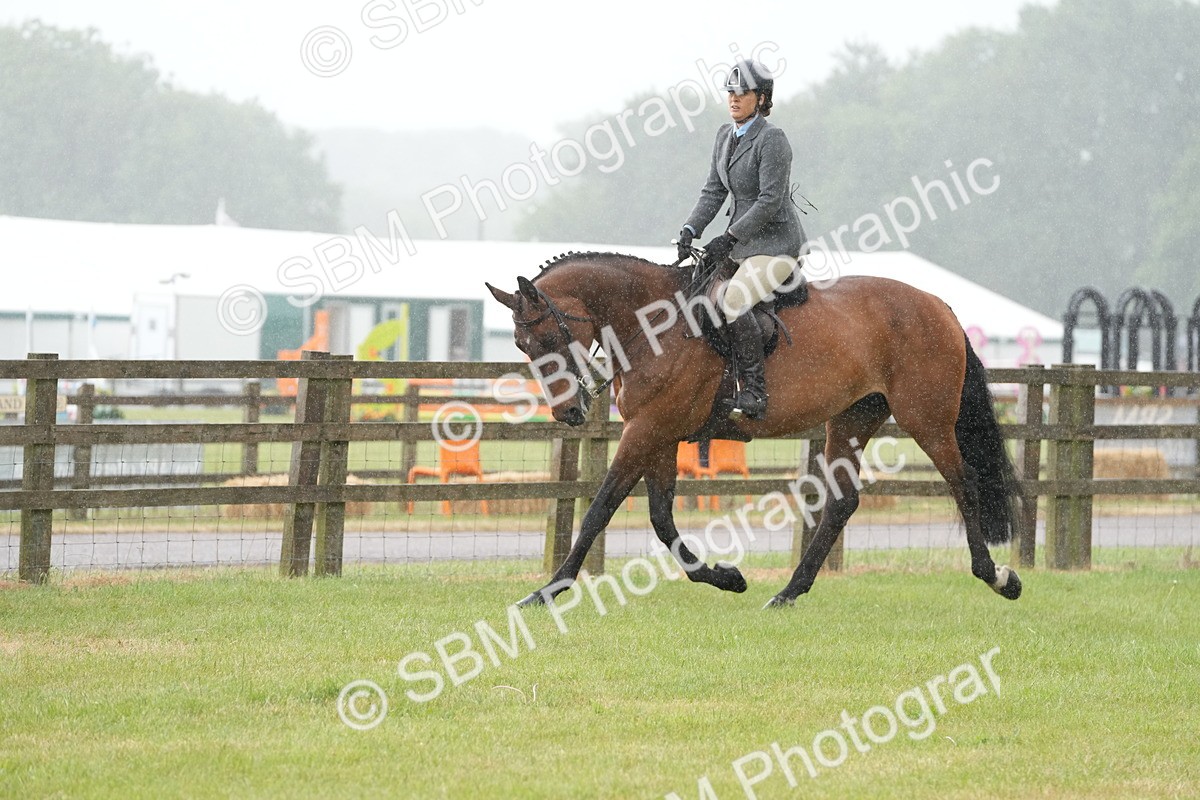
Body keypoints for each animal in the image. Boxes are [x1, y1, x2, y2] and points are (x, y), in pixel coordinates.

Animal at [486, 251, 1025, 609]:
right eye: (522, 345)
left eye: (547, 337)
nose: (567, 414)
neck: (652, 324)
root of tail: (939, 306)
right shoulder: (660, 434)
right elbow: (660, 517)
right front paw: (725, 577)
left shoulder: (647, 429)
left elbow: (600, 508)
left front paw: (548, 591)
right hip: (853, 418)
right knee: (843, 502)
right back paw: (788, 593)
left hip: (926, 419)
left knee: (965, 484)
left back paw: (999, 577)